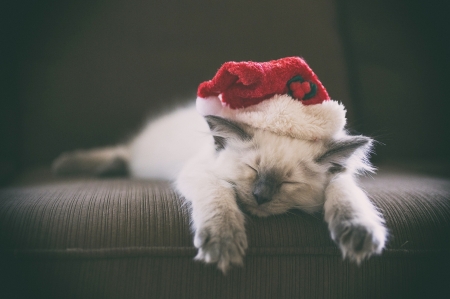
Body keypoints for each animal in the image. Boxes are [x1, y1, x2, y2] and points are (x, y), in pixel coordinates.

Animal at [52, 102, 386, 274]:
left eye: (288, 182)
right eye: (253, 171)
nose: (260, 197)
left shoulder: (341, 179)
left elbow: (345, 193)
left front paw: (358, 232)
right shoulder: (201, 173)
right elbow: (220, 199)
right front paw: (224, 243)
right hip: (142, 159)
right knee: (121, 152)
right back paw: (69, 164)